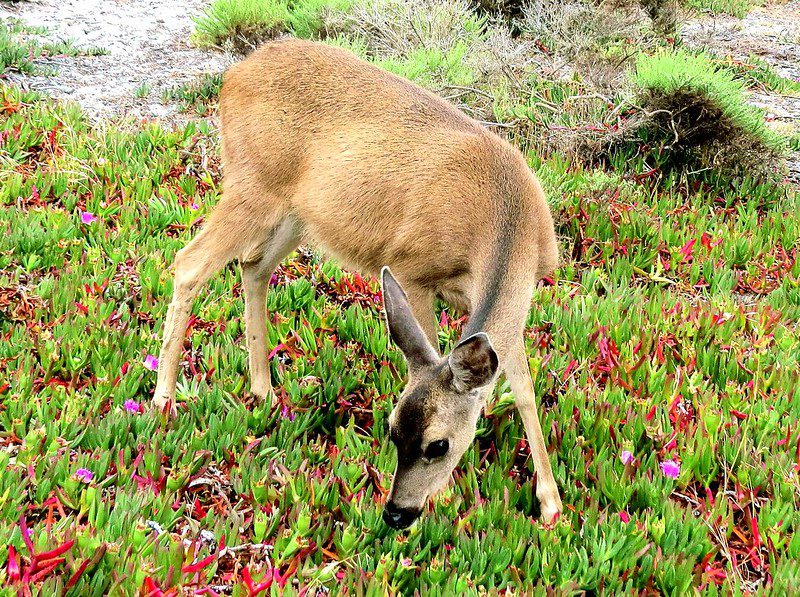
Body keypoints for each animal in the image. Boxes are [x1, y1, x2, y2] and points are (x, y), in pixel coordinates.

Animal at [152, 39, 562, 528]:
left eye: (437, 444)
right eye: (391, 431)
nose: (397, 513)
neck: (509, 223)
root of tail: (234, 74)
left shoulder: (509, 305)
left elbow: (523, 389)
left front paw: (551, 502)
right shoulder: (411, 269)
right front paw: (449, 498)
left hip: (295, 213)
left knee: (253, 267)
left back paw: (264, 391)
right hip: (251, 187)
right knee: (189, 264)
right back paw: (163, 402)